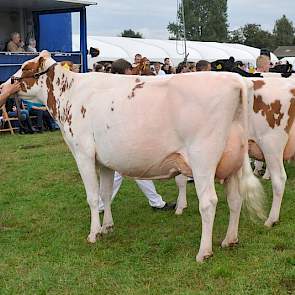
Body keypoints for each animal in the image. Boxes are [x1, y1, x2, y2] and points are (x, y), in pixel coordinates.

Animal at [8, 52, 266, 262]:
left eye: (25, 67)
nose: (7, 82)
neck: (70, 94)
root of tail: (234, 79)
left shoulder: (83, 153)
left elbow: (92, 197)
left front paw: (93, 234)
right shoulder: (104, 160)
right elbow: (105, 194)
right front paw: (107, 227)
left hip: (203, 158)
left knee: (209, 202)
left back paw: (204, 252)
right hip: (233, 162)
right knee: (235, 199)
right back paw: (229, 240)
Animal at [176, 76, 295, 229]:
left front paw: (179, 206)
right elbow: (180, 179)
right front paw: (181, 205)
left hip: (271, 143)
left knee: (279, 179)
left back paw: (271, 220)